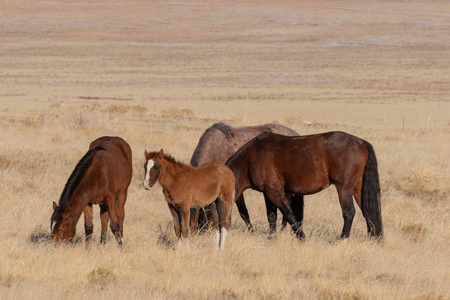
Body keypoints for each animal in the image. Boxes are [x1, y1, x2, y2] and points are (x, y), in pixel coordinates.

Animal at [227, 131, 382, 239]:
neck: (252, 156)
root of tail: (361, 142)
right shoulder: (267, 192)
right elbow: (272, 216)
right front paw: (272, 238)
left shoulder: (274, 191)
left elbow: (288, 214)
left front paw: (301, 237)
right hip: (357, 188)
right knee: (367, 211)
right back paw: (374, 238)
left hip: (344, 188)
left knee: (349, 212)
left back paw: (342, 238)